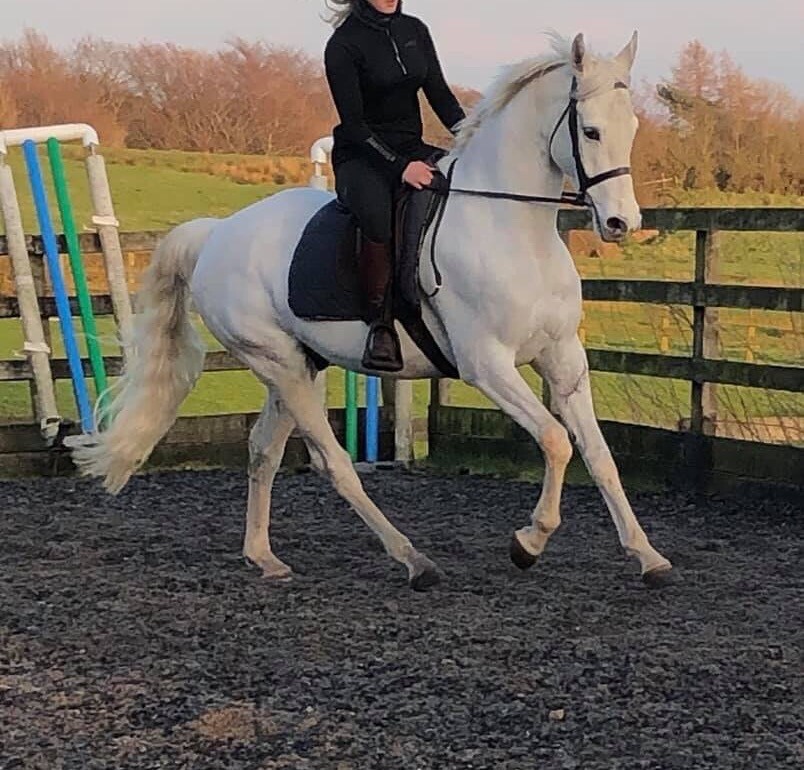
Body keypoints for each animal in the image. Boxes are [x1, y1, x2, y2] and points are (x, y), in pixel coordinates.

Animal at [68, 32, 675, 591]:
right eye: (590, 131)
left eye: (631, 128)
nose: (621, 224)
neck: (509, 228)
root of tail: (217, 234)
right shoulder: (488, 366)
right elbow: (555, 441)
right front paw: (528, 542)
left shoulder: (564, 359)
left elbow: (598, 454)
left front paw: (647, 556)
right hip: (281, 365)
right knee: (333, 463)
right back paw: (412, 560)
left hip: (296, 365)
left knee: (263, 450)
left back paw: (264, 558)